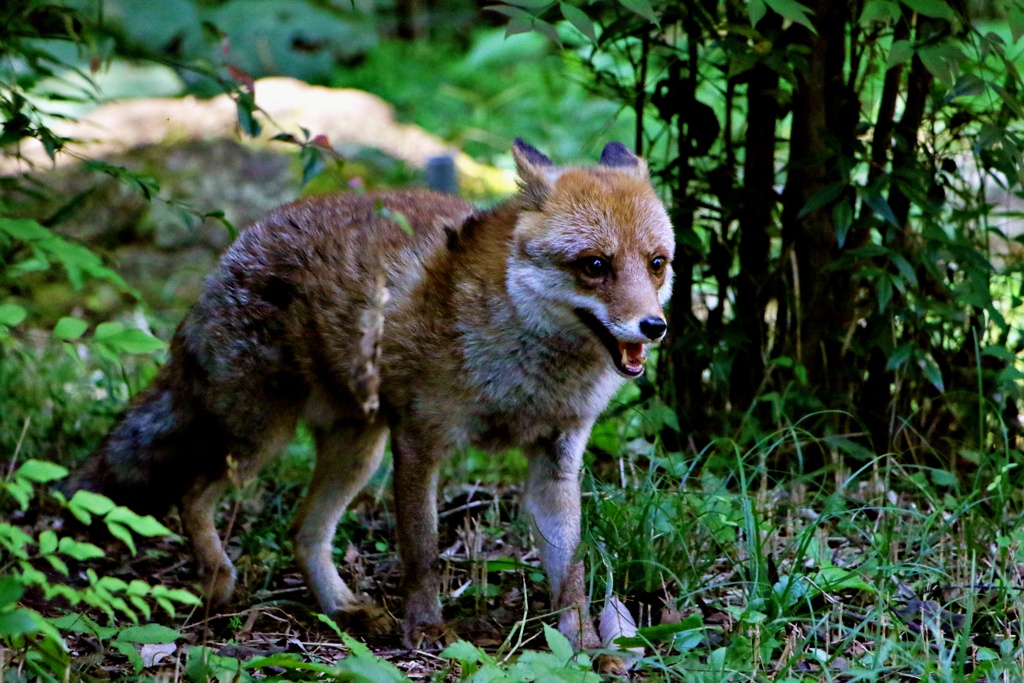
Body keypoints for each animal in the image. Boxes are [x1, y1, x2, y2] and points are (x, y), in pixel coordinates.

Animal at [64, 140, 671, 663]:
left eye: (656, 263)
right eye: (595, 265)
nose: (655, 326)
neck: (526, 376)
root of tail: (236, 246)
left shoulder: (557, 459)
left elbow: (572, 577)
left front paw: (588, 649)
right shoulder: (420, 440)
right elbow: (423, 553)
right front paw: (425, 630)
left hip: (357, 450)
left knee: (303, 531)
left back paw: (342, 609)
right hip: (261, 438)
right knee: (190, 495)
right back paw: (217, 579)